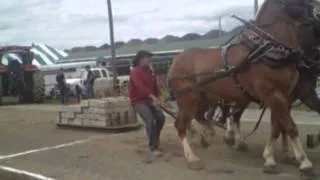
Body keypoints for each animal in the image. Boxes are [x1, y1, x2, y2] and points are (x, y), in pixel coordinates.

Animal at [166, 0, 320, 177]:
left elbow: (277, 126)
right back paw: (192, 157)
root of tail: (176, 59)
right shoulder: (272, 94)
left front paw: (272, 157)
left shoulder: (285, 96)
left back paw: (209, 136)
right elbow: (289, 127)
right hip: (188, 98)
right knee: (181, 124)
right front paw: (304, 162)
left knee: (201, 115)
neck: (268, 50)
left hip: (206, 97)